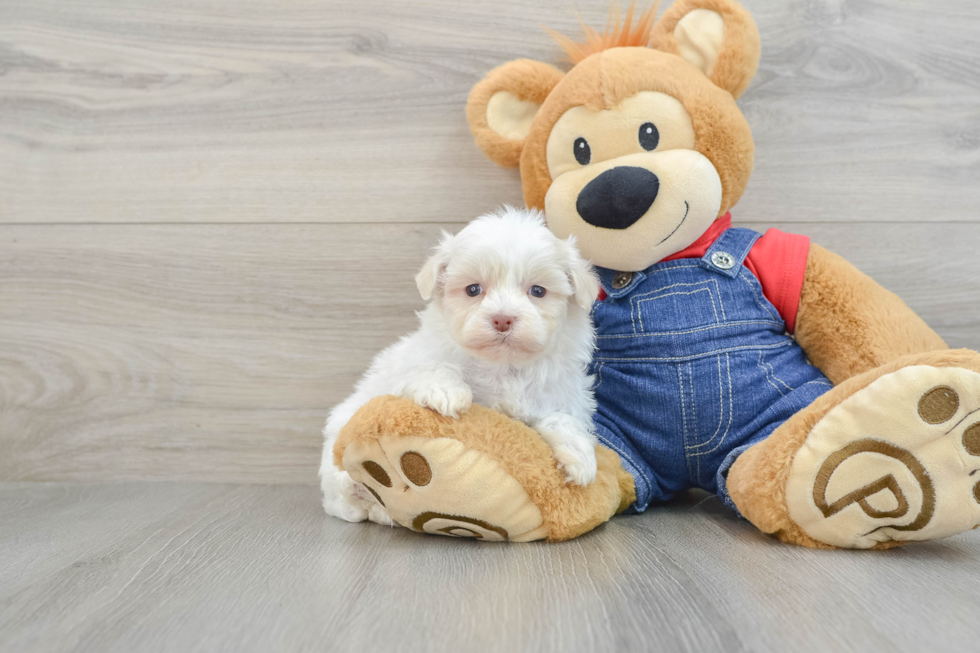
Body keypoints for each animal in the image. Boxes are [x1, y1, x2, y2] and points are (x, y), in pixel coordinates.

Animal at [320, 206, 596, 524]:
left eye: (538, 291)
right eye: (473, 289)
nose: (503, 318)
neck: (504, 366)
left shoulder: (561, 393)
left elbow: (562, 418)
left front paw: (580, 455)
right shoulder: (415, 363)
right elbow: (435, 367)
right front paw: (446, 392)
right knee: (340, 493)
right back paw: (357, 487)